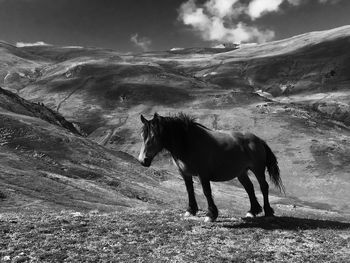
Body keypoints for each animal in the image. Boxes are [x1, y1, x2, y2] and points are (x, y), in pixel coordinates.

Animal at [137, 113, 284, 223]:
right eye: (143, 136)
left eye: (154, 136)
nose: (143, 160)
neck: (188, 143)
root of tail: (259, 140)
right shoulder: (185, 173)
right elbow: (189, 190)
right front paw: (190, 210)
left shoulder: (203, 174)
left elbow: (206, 192)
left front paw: (211, 215)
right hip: (241, 173)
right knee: (249, 188)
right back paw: (252, 211)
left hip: (257, 170)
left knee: (264, 187)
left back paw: (268, 212)